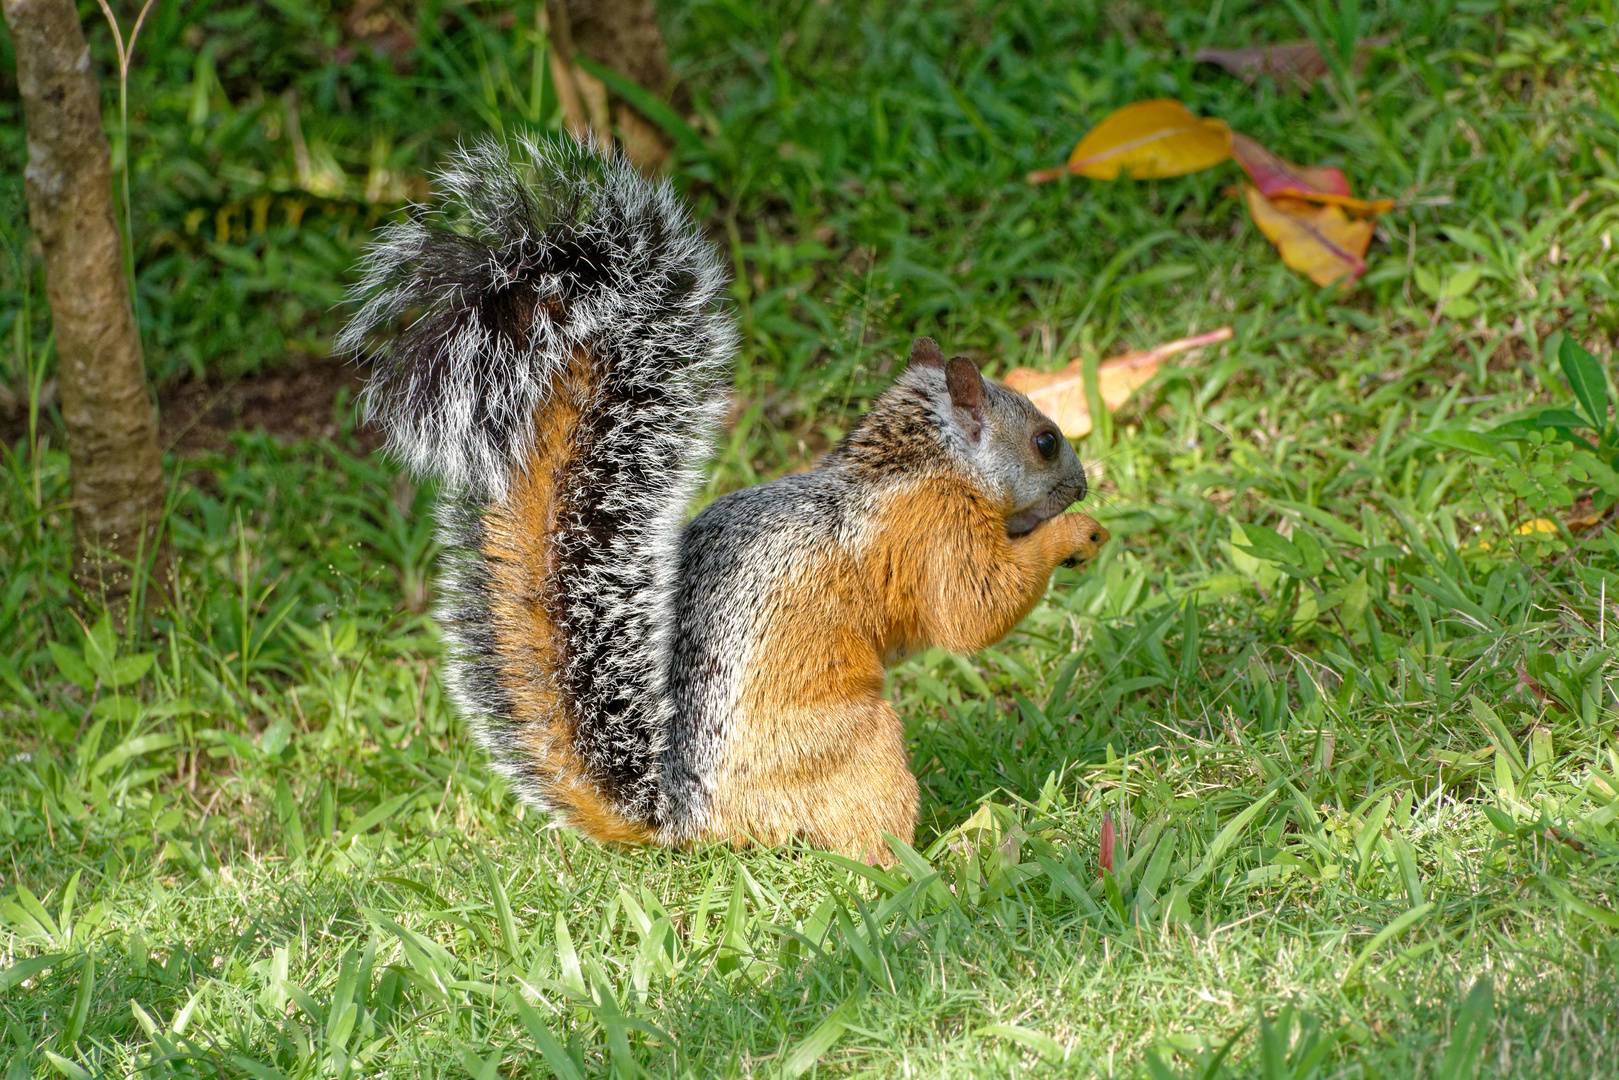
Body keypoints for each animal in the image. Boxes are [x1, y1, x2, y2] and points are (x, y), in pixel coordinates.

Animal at [335, 137, 1107, 861]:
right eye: (1044, 441)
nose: (1082, 483)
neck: (921, 458)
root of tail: (688, 821)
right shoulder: (932, 528)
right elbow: (972, 610)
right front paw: (1077, 533)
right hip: (853, 746)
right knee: (868, 837)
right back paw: (945, 851)